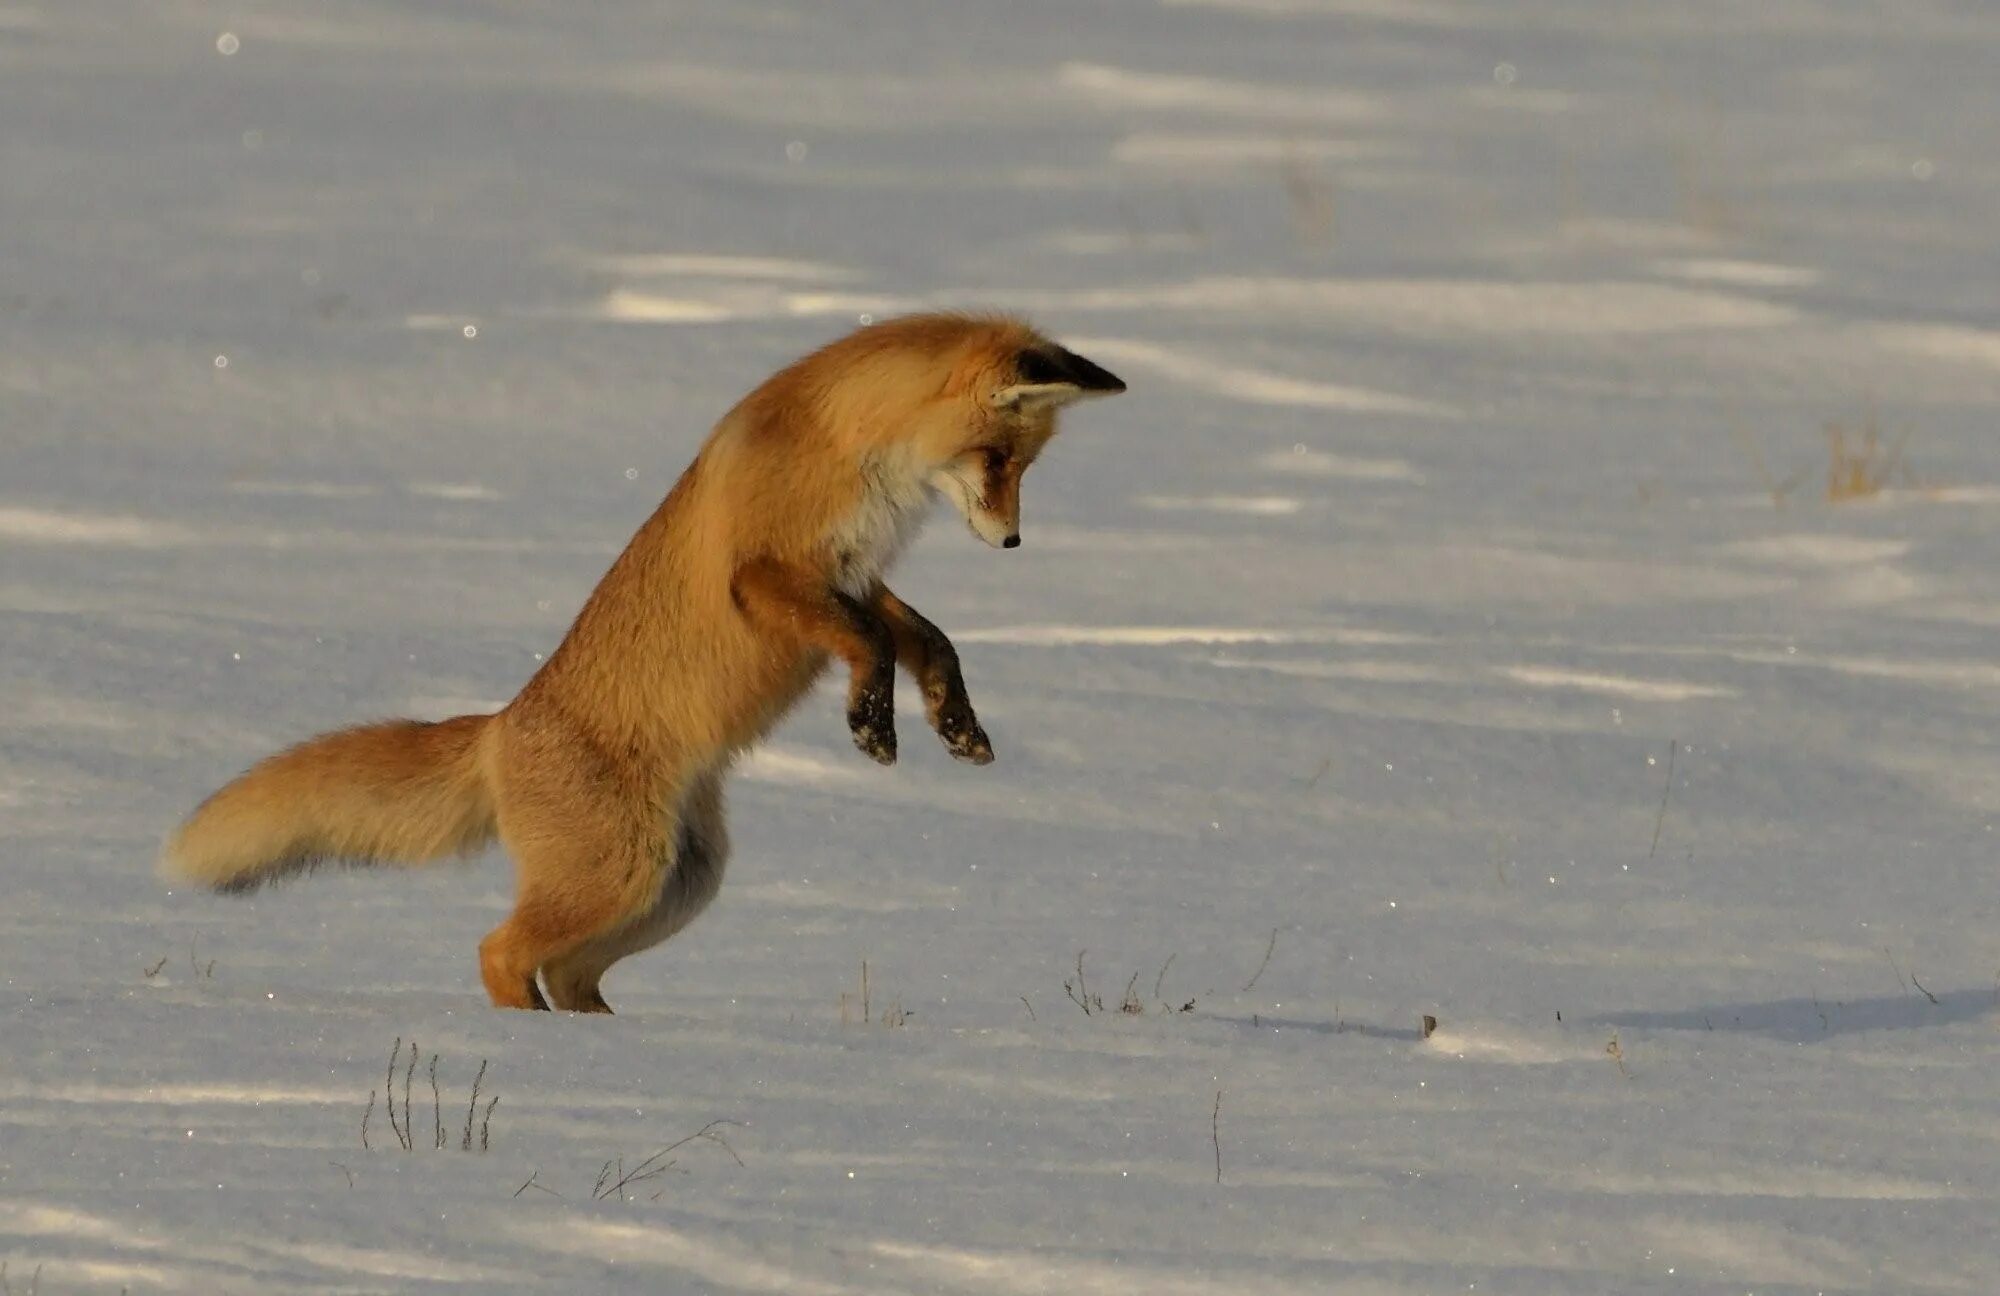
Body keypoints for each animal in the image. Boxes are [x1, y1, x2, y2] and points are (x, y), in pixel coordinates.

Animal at [156, 312, 1128, 1012]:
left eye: (1023, 467)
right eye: (995, 459)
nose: (1011, 541)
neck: (849, 447)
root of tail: (498, 730)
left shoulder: (856, 574)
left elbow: (930, 639)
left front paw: (955, 724)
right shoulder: (768, 574)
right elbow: (876, 643)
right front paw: (872, 724)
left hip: (677, 884)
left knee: (567, 974)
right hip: (619, 875)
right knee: (500, 953)